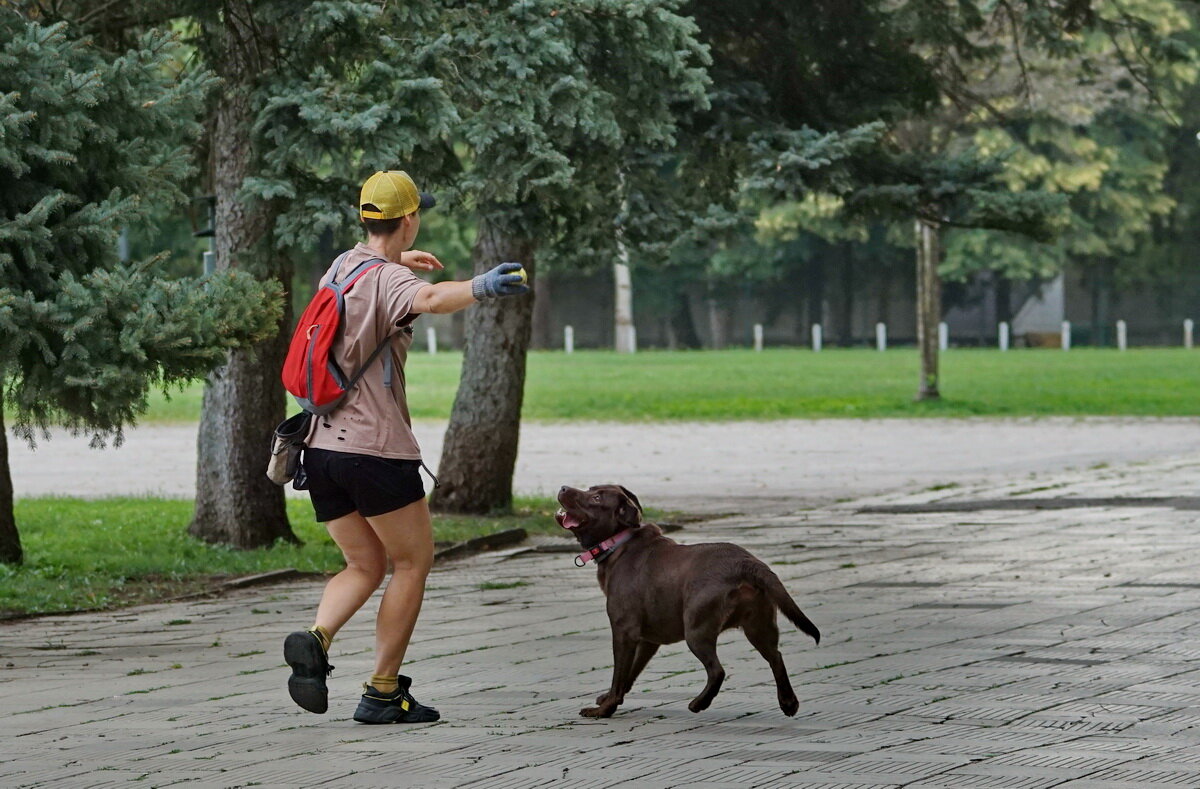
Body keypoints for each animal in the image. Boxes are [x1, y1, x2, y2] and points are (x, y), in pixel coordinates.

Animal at [556, 482, 820, 714]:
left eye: (596, 498)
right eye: (590, 488)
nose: (563, 487)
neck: (618, 544)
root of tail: (747, 563)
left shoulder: (624, 631)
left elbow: (619, 673)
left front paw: (604, 710)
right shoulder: (647, 640)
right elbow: (630, 673)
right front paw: (609, 699)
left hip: (696, 627)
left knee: (717, 670)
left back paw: (699, 703)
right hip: (759, 625)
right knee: (776, 657)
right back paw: (788, 703)